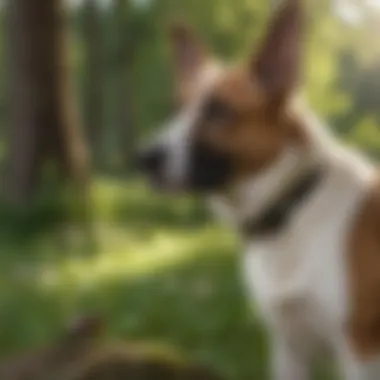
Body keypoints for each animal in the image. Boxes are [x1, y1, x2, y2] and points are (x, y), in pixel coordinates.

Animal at [138, 1, 380, 378]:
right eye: (177, 109)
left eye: (219, 111)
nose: (143, 158)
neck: (293, 208)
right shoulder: (288, 349)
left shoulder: (359, 354)